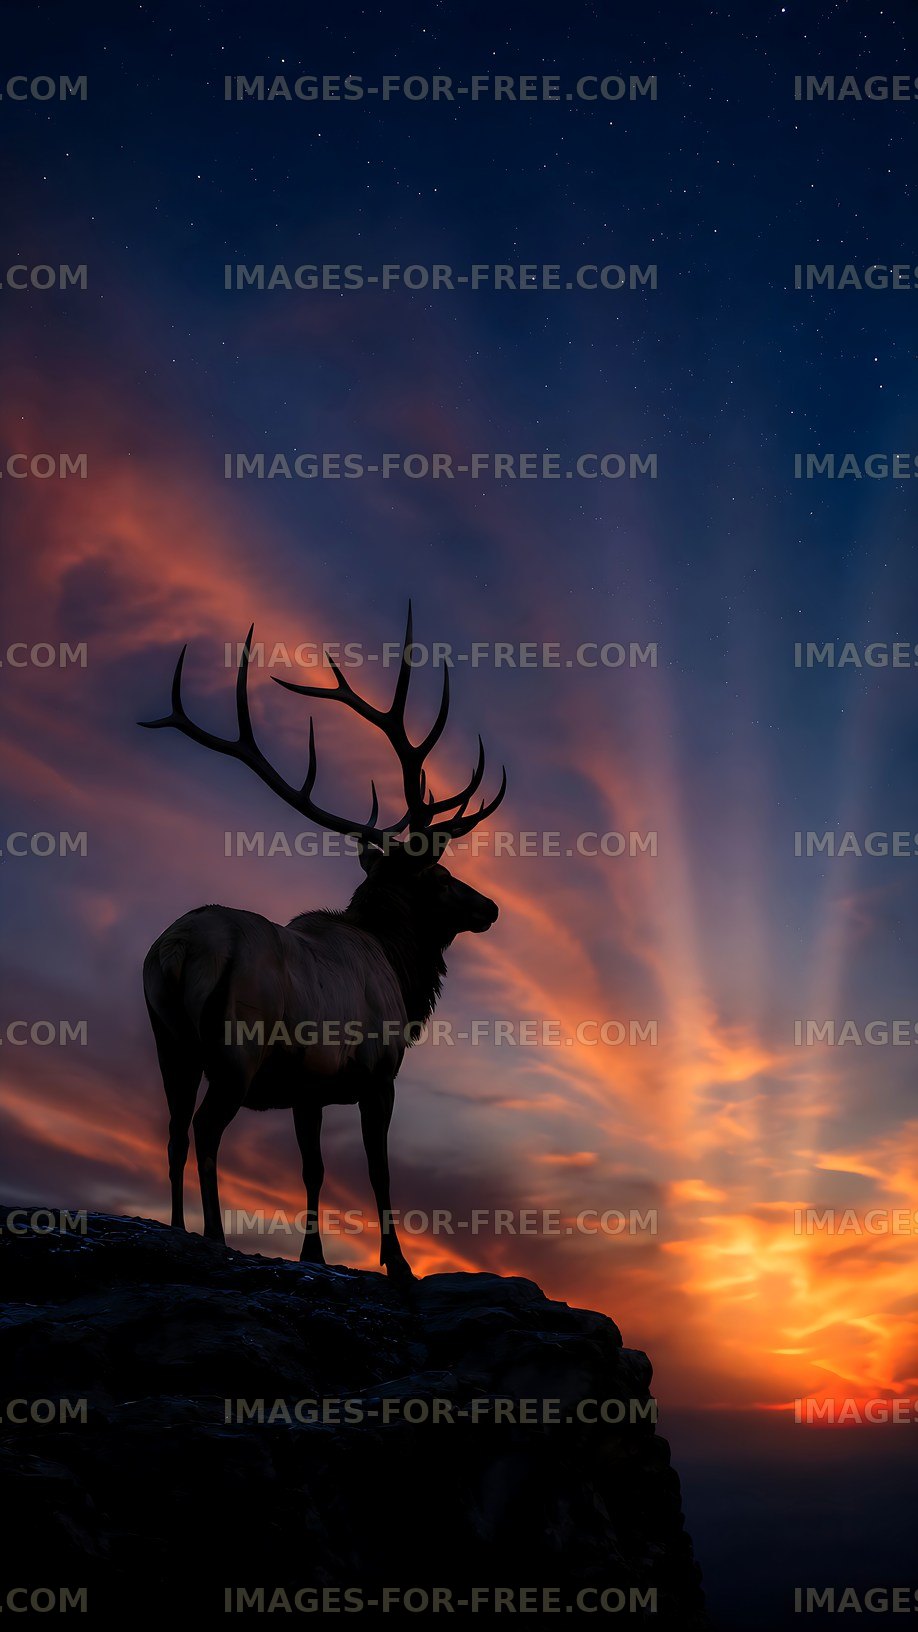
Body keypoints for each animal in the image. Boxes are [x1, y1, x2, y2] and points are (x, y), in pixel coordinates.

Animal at [140, 606, 506, 1283]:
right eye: (440, 875)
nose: (490, 907)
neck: (400, 969)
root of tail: (175, 952)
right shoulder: (378, 1072)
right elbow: (378, 1171)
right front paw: (399, 1265)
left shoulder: (306, 1087)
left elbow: (313, 1169)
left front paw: (314, 1254)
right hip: (236, 1050)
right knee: (205, 1130)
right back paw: (214, 1236)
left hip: (168, 1040)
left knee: (174, 1127)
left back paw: (176, 1230)